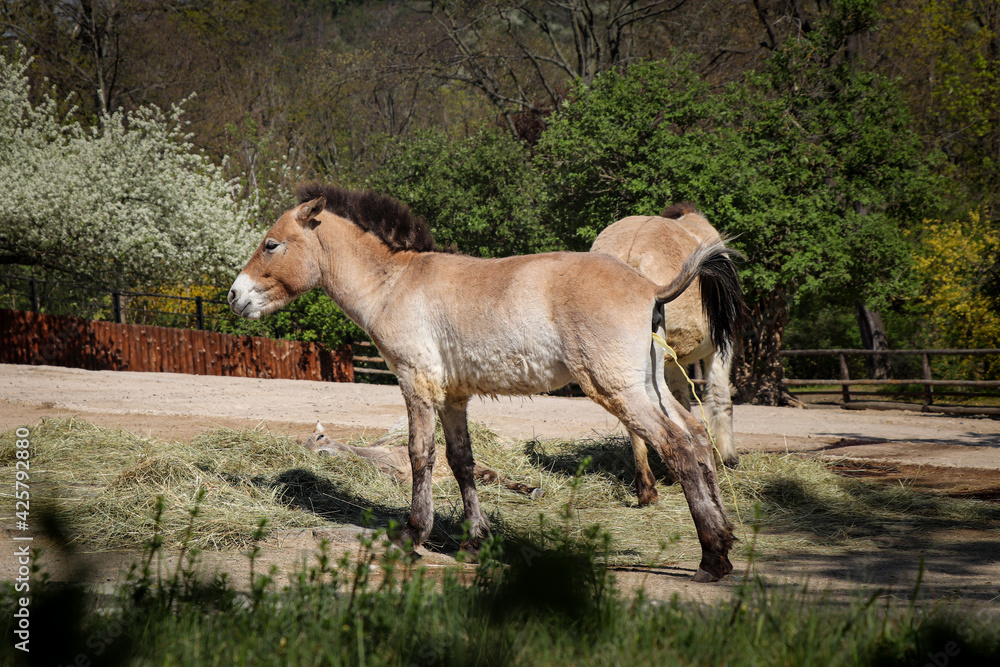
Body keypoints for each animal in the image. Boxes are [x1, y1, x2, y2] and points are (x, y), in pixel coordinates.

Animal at [591, 203, 746, 507]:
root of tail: (629, 255)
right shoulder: (722, 346)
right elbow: (720, 397)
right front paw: (727, 457)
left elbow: (680, 402)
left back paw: (647, 487)